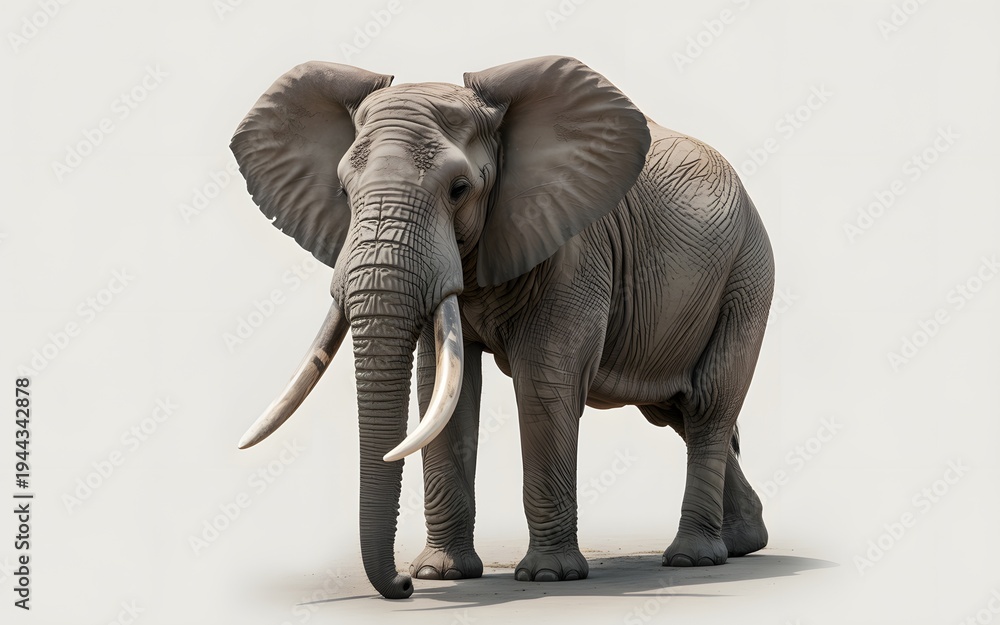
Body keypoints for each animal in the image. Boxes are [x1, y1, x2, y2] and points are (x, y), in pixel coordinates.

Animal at [231, 55, 774, 600]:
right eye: (344, 192)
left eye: (459, 190)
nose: (402, 585)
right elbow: (442, 389)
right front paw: (441, 573)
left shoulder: (575, 244)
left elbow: (544, 384)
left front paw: (549, 576)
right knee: (675, 412)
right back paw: (742, 542)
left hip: (748, 276)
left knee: (707, 405)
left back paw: (693, 558)